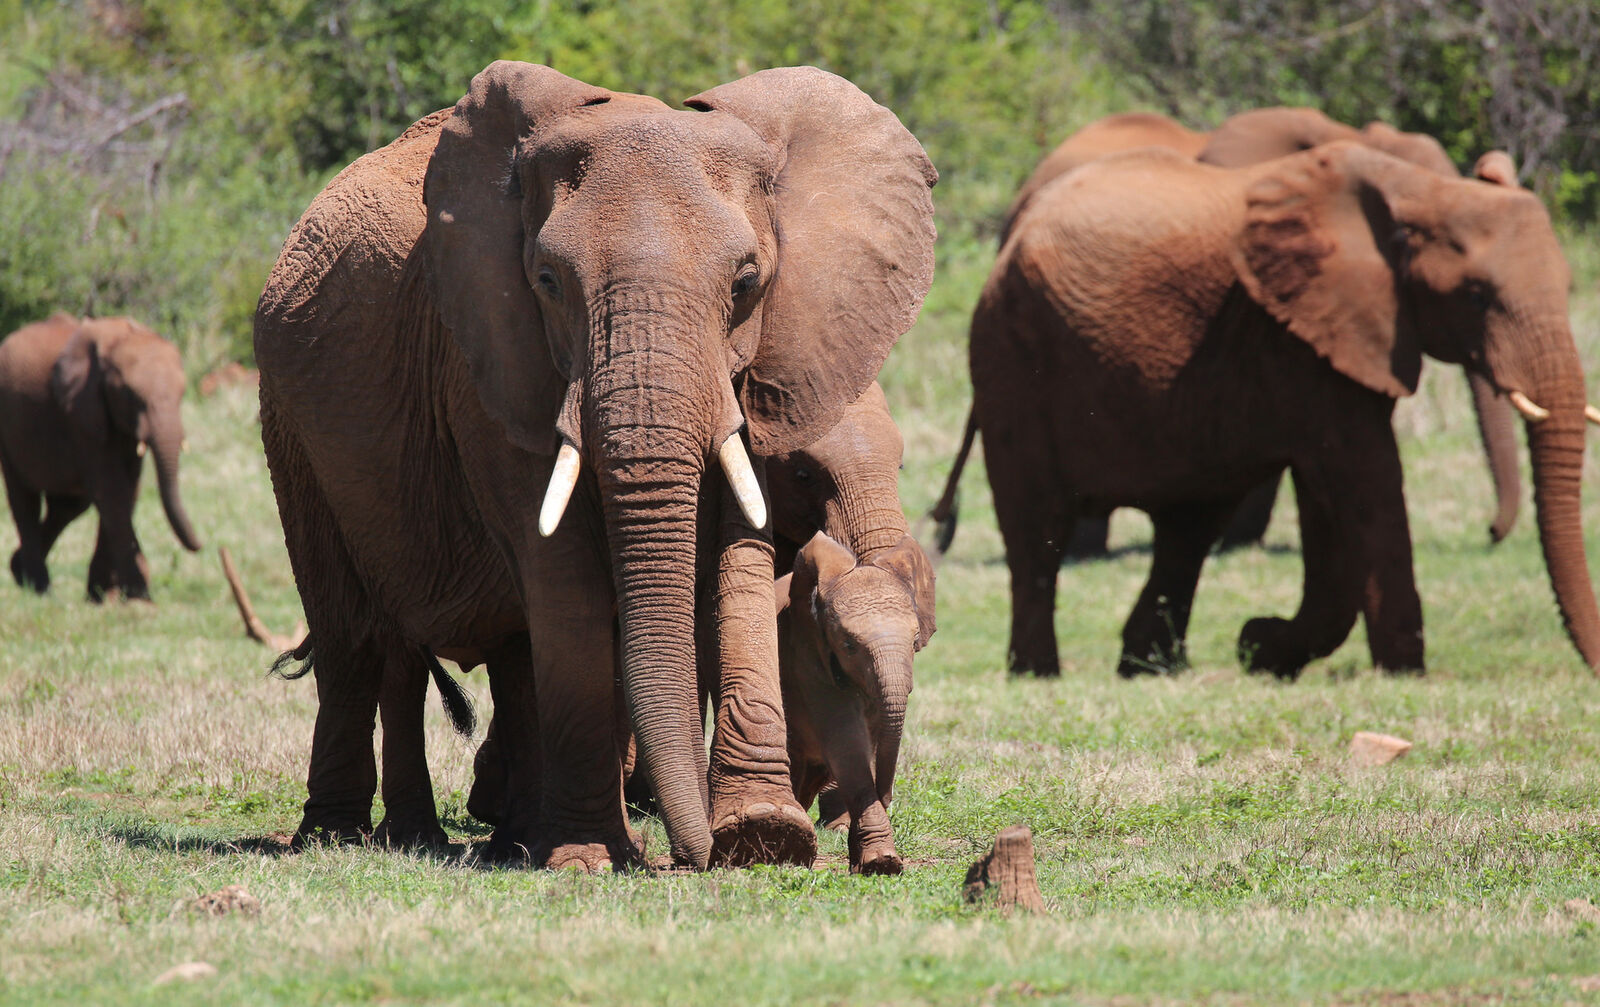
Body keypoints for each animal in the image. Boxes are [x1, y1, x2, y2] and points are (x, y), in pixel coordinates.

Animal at [0, 312, 204, 595]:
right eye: (131, 396)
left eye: (182, 393)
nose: (202, 544)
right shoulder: (81, 416)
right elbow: (112, 491)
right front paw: (139, 595)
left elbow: (128, 490)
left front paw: (103, 594)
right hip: (9, 432)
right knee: (25, 500)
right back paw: (38, 587)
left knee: (68, 507)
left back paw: (19, 571)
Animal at [777, 525, 934, 870]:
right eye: (848, 645)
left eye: (915, 639)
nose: (887, 796)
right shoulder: (805, 656)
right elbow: (847, 742)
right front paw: (881, 863)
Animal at [960, 141, 1600, 678]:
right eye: (1476, 296)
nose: (1491, 530)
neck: (1419, 189)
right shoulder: (1301, 334)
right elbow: (1363, 478)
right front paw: (1400, 671)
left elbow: (1329, 502)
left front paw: (1263, 648)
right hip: (1009, 354)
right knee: (1038, 525)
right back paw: (1039, 673)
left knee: (1188, 529)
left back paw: (1151, 668)